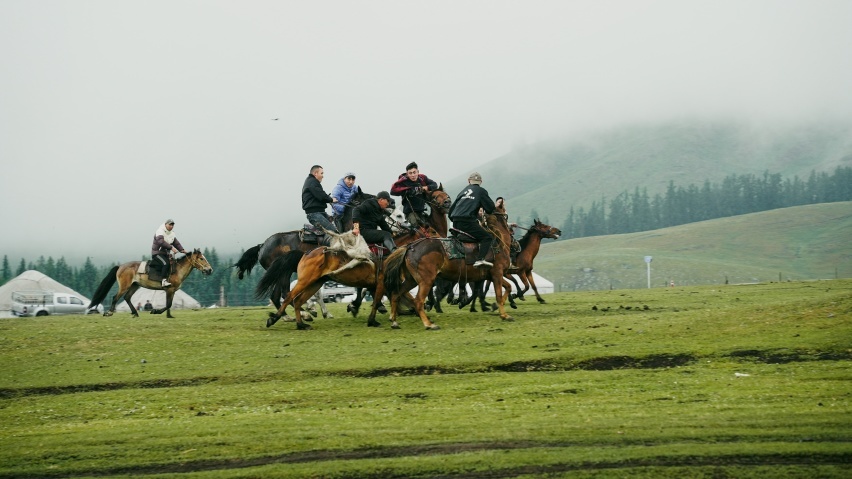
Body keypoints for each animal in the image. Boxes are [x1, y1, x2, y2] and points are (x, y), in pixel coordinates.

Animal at [382, 211, 516, 330]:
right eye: (512, 231)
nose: (517, 245)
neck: (499, 243)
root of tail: (410, 247)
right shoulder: (497, 274)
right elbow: (499, 294)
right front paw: (504, 315)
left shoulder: (491, 276)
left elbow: (508, 287)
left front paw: (500, 306)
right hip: (426, 281)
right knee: (418, 301)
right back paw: (429, 324)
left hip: (412, 280)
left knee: (396, 294)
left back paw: (394, 321)